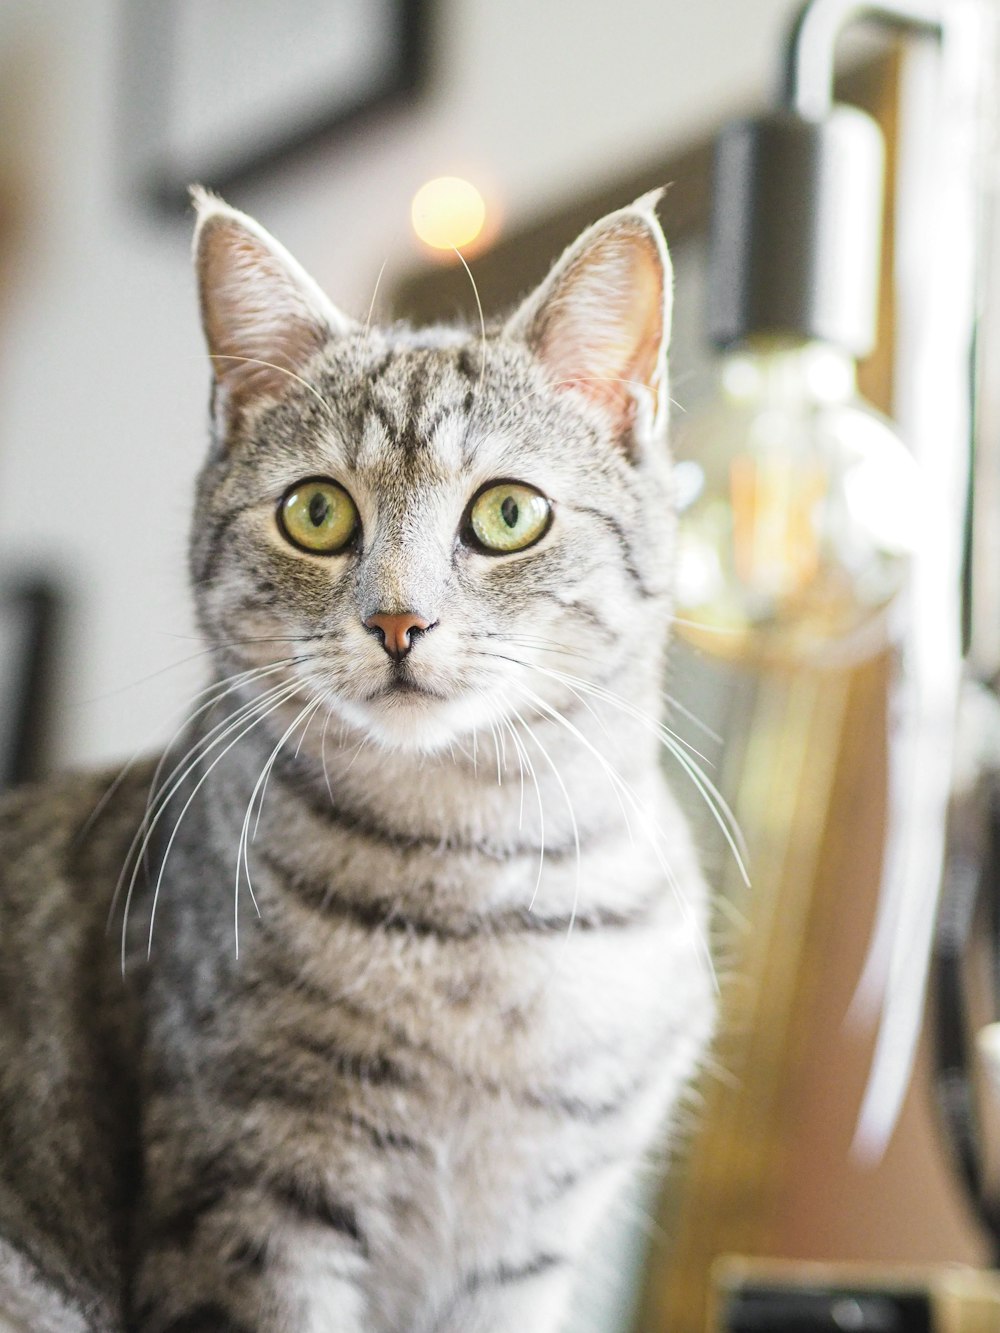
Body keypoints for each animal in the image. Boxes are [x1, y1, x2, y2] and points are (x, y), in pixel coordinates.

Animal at [0, 190, 720, 1333]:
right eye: (317, 511)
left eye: (508, 512)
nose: (397, 620)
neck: (485, 875)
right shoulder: (252, 1198)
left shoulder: (525, 1247)